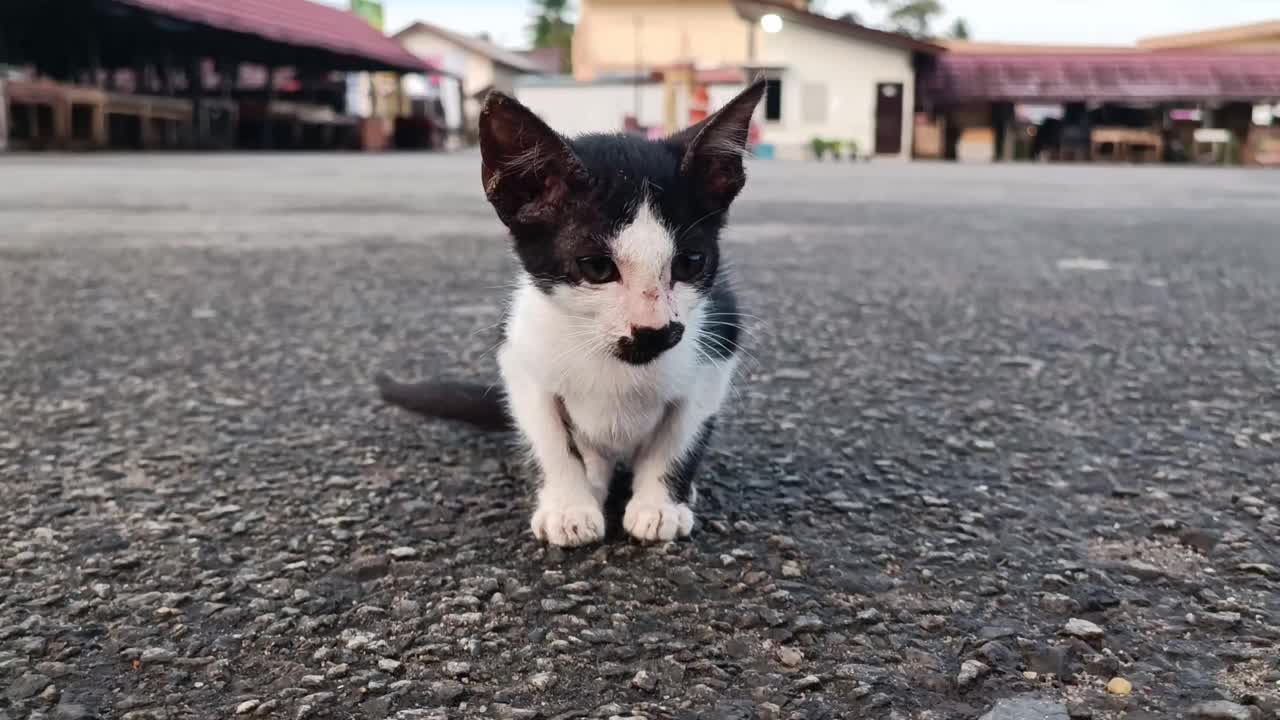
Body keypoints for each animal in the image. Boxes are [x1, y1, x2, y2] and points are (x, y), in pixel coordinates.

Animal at [373, 77, 762, 543]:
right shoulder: (519, 356)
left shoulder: (716, 351)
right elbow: (552, 440)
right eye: (596, 267)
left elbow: (678, 438)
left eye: (690, 263)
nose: (653, 330)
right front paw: (568, 507)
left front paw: (659, 505)